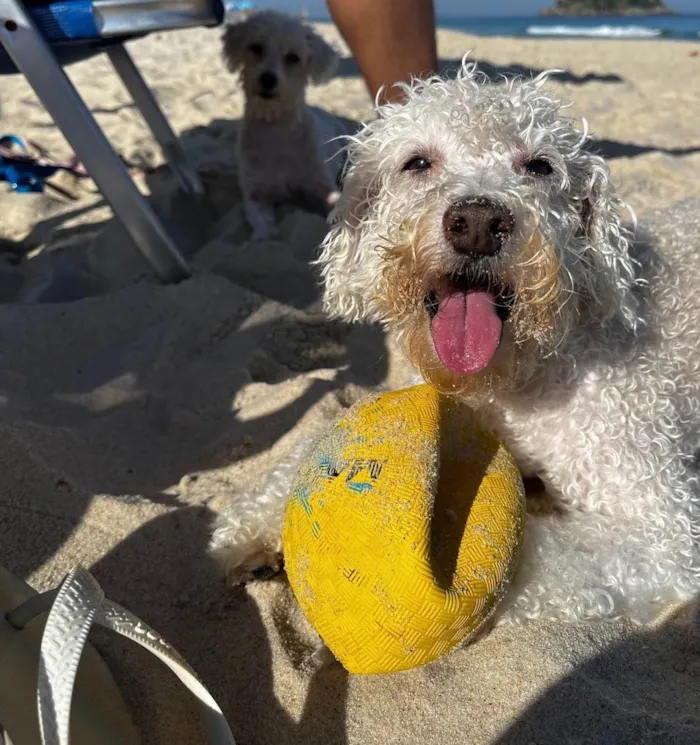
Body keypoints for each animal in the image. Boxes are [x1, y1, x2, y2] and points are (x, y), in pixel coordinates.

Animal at [211, 65, 700, 628]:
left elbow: (526, 555)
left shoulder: (663, 532)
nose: (479, 223)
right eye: (418, 162)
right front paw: (247, 527)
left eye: (540, 166)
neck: (509, 377)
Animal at [223, 10, 346, 238]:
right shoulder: (256, 193)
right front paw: (266, 236)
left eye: (293, 58)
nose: (267, 79)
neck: (277, 130)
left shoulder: (321, 185)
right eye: (256, 47)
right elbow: (263, 225)